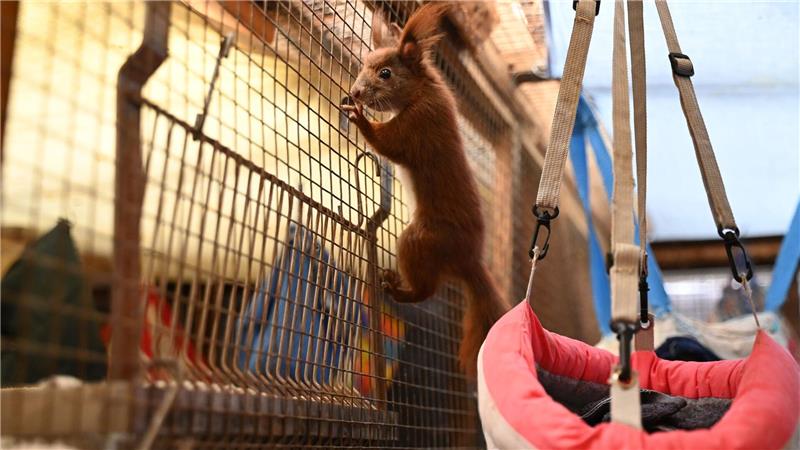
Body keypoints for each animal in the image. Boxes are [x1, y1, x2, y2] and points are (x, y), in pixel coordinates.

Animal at [342, 3, 510, 377]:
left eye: (386, 73)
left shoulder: (417, 126)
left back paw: (397, 288)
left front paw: (358, 117)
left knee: (427, 290)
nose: (357, 92)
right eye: (364, 62)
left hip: (420, 240)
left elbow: (388, 144)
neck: (422, 91)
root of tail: (468, 260)